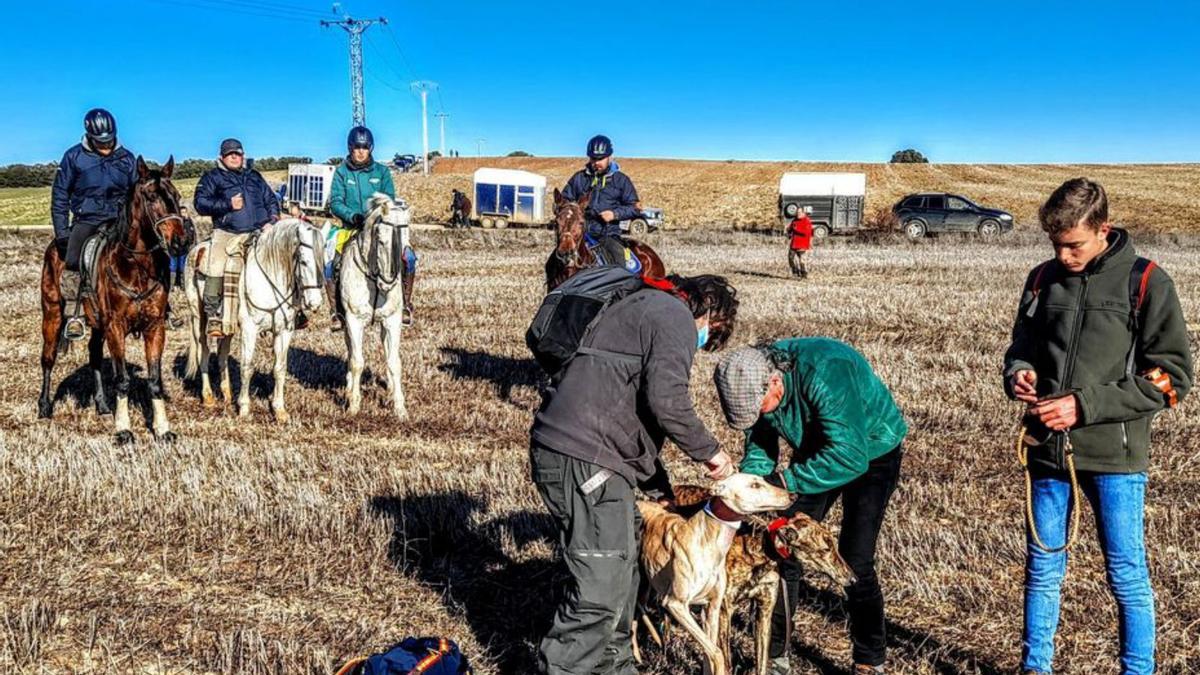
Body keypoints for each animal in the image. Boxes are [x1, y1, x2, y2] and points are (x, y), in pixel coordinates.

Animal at [37, 154, 190, 444]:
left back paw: (102, 404)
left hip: (98, 325)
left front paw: (163, 429)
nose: (180, 242)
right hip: (52, 314)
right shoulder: (116, 327)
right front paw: (123, 430)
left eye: (175, 195)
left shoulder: (155, 327)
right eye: (151, 197)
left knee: (95, 356)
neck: (135, 266)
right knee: (48, 358)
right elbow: (122, 380)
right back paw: (44, 407)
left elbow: (155, 380)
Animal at [182, 218, 326, 420]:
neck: (270, 278)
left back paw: (227, 394)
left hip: (227, 324)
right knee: (202, 351)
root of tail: (197, 249)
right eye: (304, 262)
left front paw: (279, 410)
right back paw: (208, 397)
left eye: (324, 261)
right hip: (198, 316)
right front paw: (244, 408)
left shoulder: (284, 331)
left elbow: (280, 368)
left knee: (222, 354)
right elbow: (247, 366)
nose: (315, 303)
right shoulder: (250, 329)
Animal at [340, 192, 410, 417]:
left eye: (407, 242)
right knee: (351, 351)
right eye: (380, 240)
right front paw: (354, 405)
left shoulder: (392, 321)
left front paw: (400, 408)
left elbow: (394, 362)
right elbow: (357, 361)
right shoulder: (353, 320)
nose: (388, 284)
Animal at [633, 470, 792, 672]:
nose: (793, 495)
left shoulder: (713, 607)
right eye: (754, 485)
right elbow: (717, 653)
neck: (707, 541)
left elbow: (711, 654)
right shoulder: (677, 604)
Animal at [667, 482, 864, 672]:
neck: (760, 546)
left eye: (834, 545)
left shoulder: (764, 612)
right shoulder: (724, 611)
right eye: (825, 549)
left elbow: (761, 661)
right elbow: (726, 661)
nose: (853, 579)